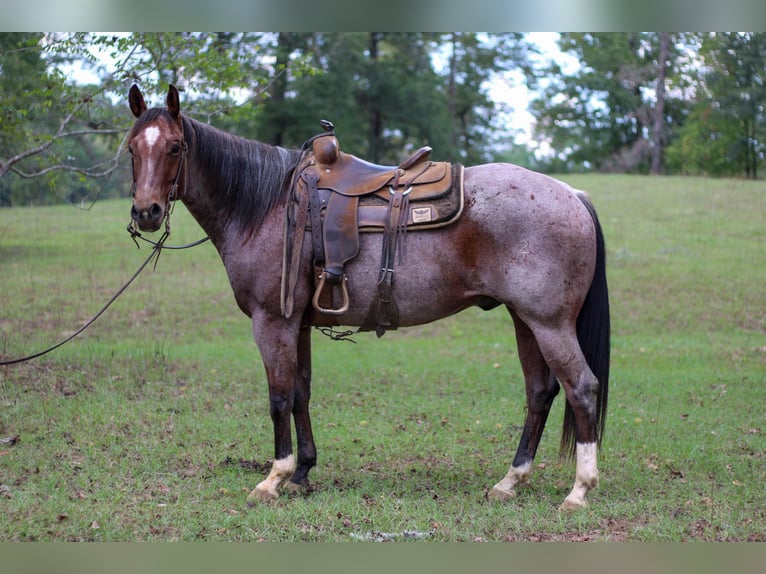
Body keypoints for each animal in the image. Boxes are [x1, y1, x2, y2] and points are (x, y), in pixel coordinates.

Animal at [129, 83, 616, 510]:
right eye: (133, 148)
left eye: (176, 147)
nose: (146, 211)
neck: (267, 207)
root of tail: (572, 194)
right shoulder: (298, 323)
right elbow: (302, 392)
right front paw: (302, 472)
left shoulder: (273, 321)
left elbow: (279, 396)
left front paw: (275, 477)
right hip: (524, 320)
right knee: (540, 392)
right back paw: (510, 481)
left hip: (549, 324)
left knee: (582, 389)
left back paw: (579, 490)